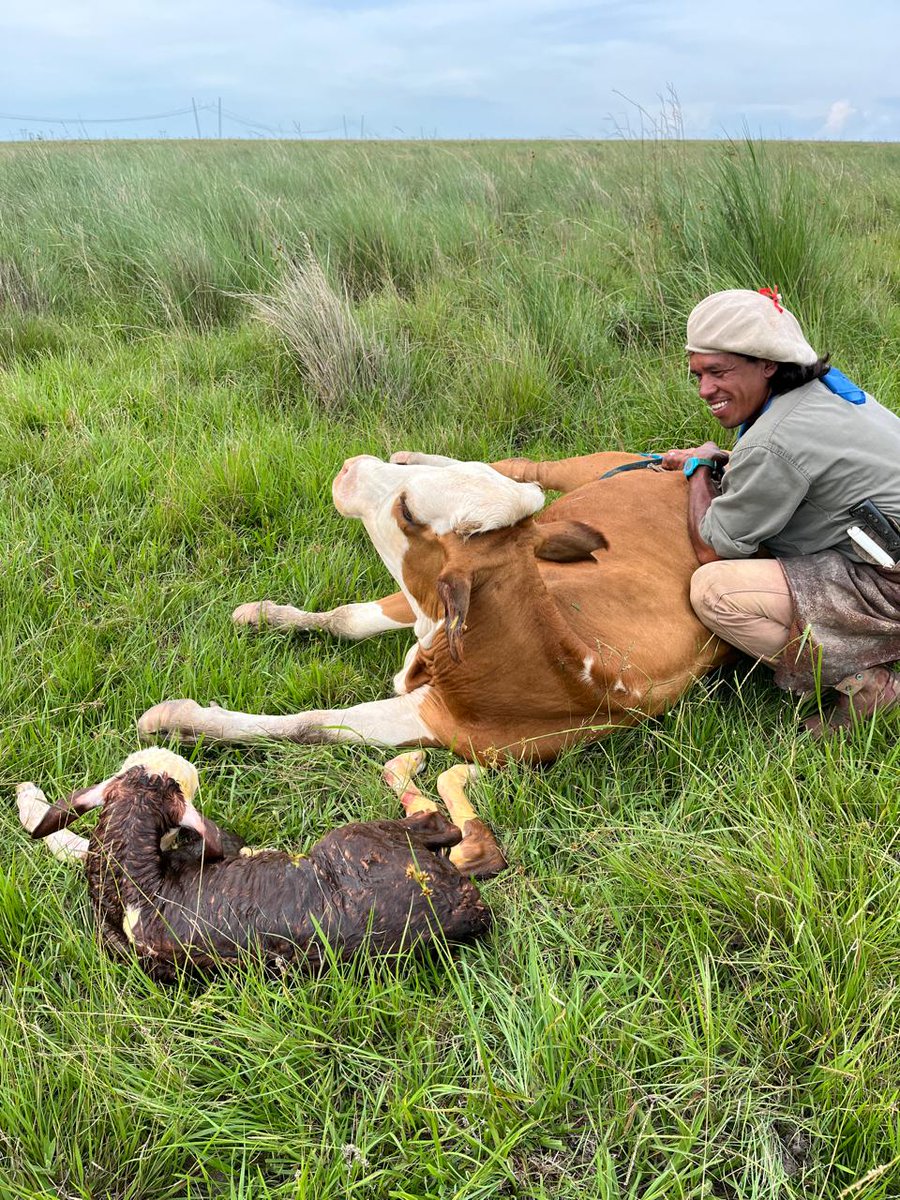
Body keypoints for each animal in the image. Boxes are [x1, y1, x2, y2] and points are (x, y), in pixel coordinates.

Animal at [138, 451, 730, 763]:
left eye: (407, 513)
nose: (351, 465)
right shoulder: (419, 608)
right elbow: (349, 619)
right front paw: (263, 615)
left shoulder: (433, 713)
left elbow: (310, 725)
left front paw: (177, 720)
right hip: (592, 468)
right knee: (533, 470)